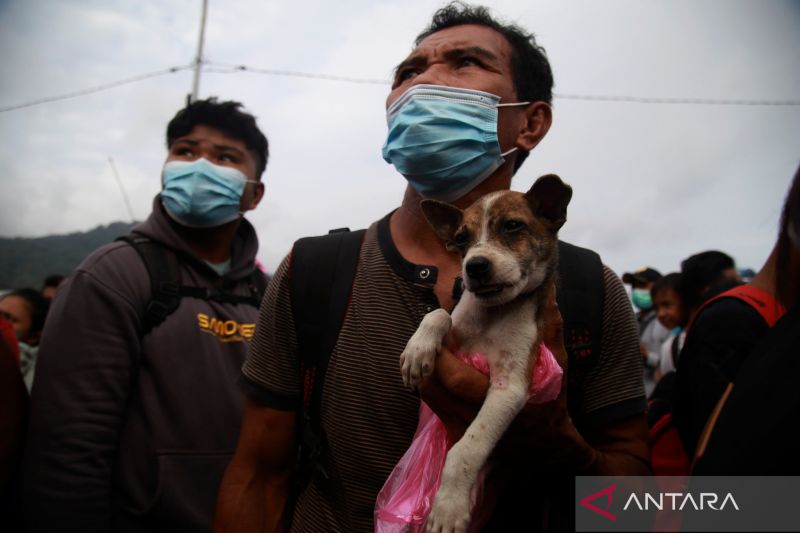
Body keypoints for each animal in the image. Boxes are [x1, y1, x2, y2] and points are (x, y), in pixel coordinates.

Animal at [398, 175, 568, 532]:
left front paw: (449, 506)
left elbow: (468, 447)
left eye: (513, 226)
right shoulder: (457, 338)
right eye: (461, 238)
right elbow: (441, 314)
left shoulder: (511, 386)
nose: (474, 266)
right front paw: (418, 349)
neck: (493, 313)